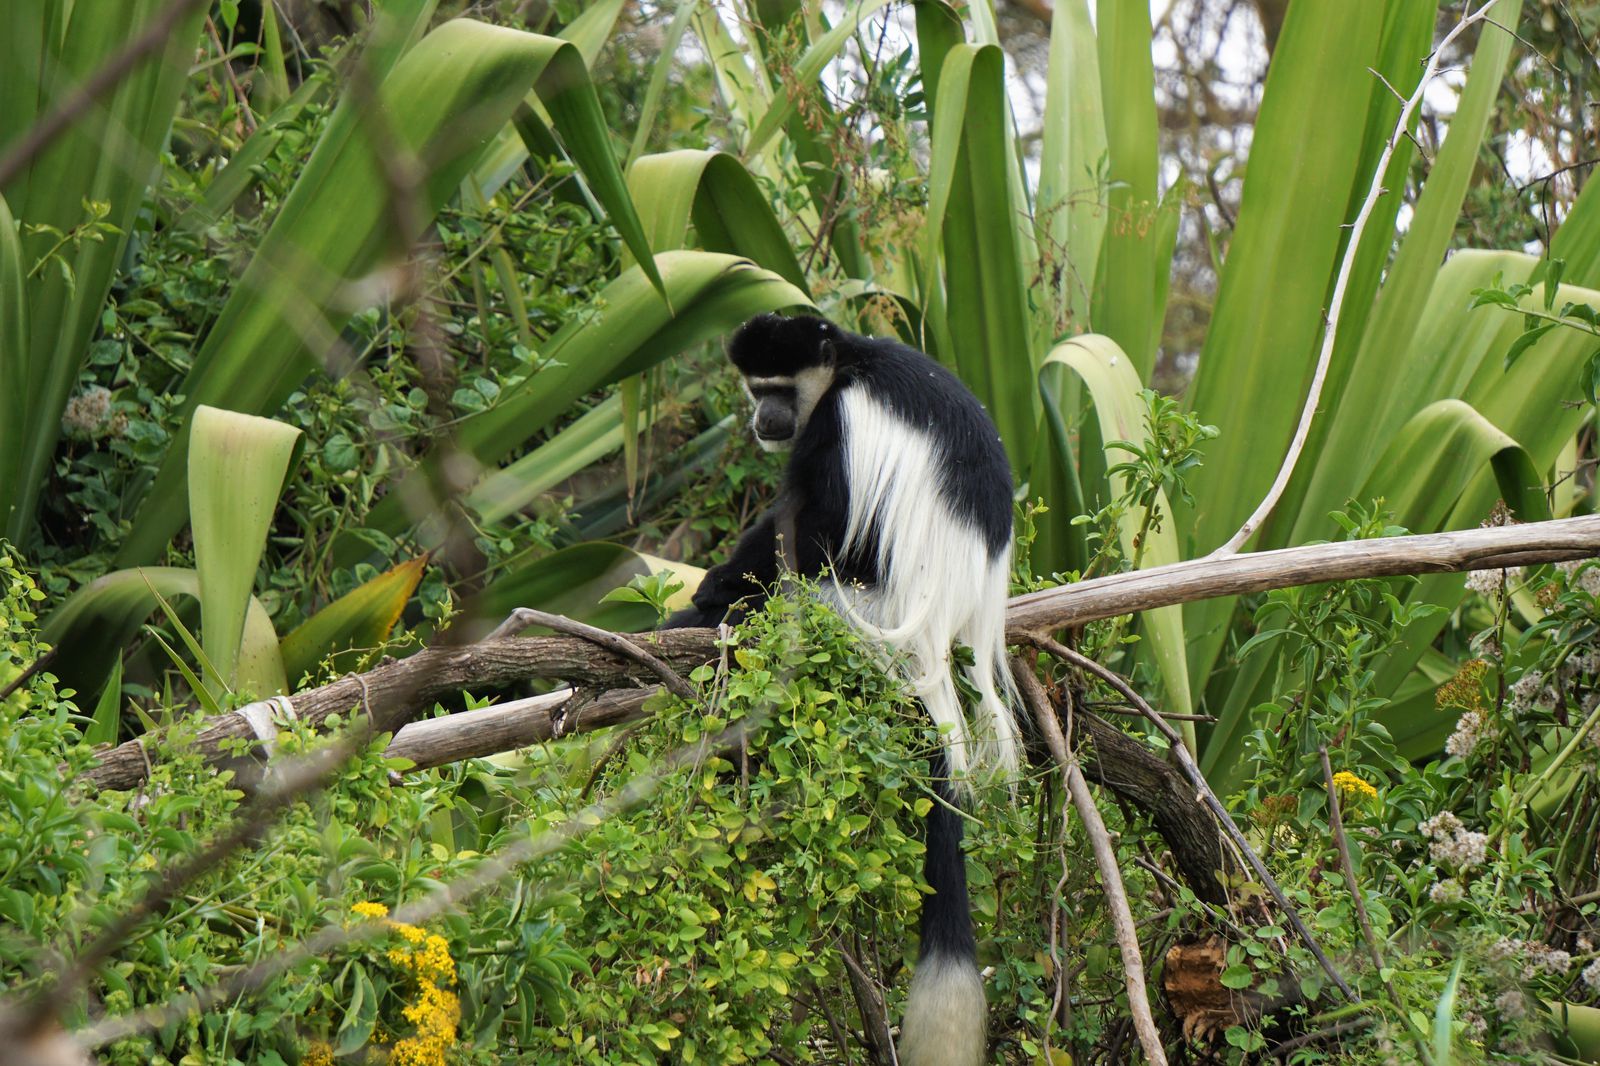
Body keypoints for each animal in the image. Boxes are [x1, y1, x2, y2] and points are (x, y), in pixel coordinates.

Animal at [665, 312, 1017, 1056]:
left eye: (778, 388)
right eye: (755, 386)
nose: (763, 418)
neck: (849, 362)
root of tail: (937, 630)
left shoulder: (842, 424)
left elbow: (817, 515)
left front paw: (715, 586)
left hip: (859, 608)